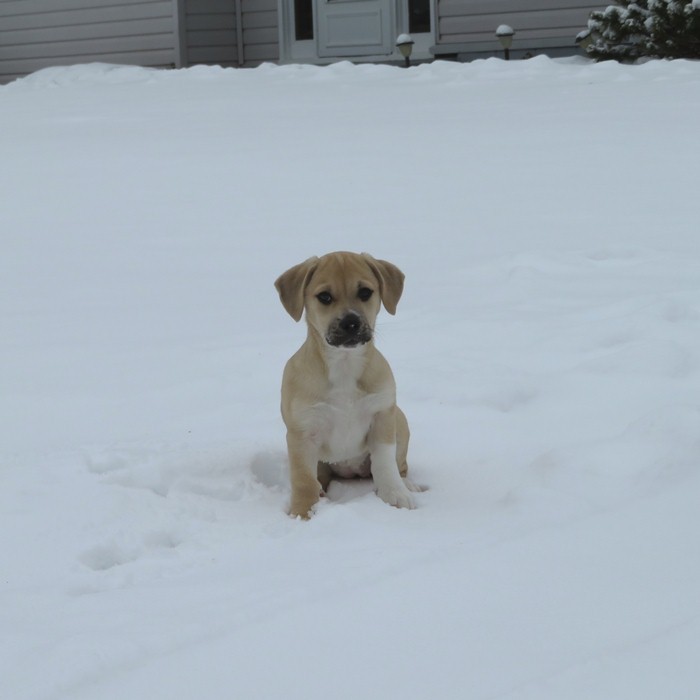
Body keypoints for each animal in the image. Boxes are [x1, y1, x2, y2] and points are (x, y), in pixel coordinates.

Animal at [274, 249, 416, 516]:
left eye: (365, 292)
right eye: (325, 297)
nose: (351, 323)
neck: (344, 365)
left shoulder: (382, 416)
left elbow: (385, 464)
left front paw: (395, 494)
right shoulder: (302, 433)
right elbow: (303, 479)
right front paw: (302, 512)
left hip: (399, 420)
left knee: (400, 465)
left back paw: (408, 484)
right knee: (318, 478)